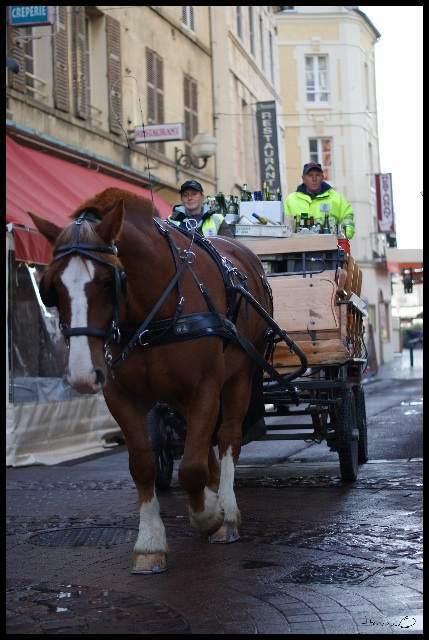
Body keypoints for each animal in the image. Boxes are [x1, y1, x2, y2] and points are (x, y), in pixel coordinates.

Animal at [29, 187, 274, 574]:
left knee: (227, 438)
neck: (154, 310)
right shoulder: (121, 395)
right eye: (51, 287)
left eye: (107, 282)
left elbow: (191, 467)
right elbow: (144, 465)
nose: (83, 375)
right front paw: (150, 543)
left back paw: (227, 510)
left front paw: (209, 515)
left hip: (240, 378)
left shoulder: (205, 387)